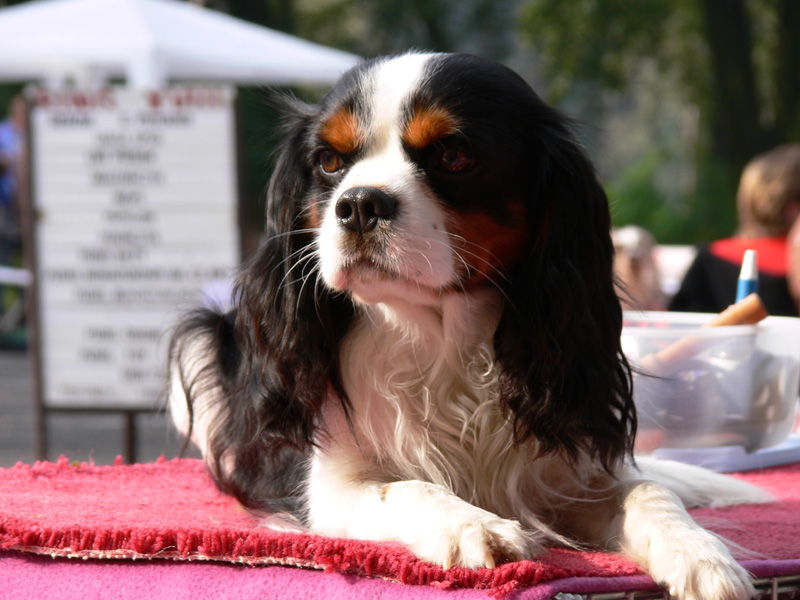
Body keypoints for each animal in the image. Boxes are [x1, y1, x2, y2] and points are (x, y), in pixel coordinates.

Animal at [169, 53, 771, 600]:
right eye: (329, 162)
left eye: (453, 156)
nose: (358, 203)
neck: (442, 336)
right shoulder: (329, 490)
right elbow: (406, 487)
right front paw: (473, 523)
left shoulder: (567, 471)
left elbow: (649, 491)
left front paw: (702, 554)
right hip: (196, 346)